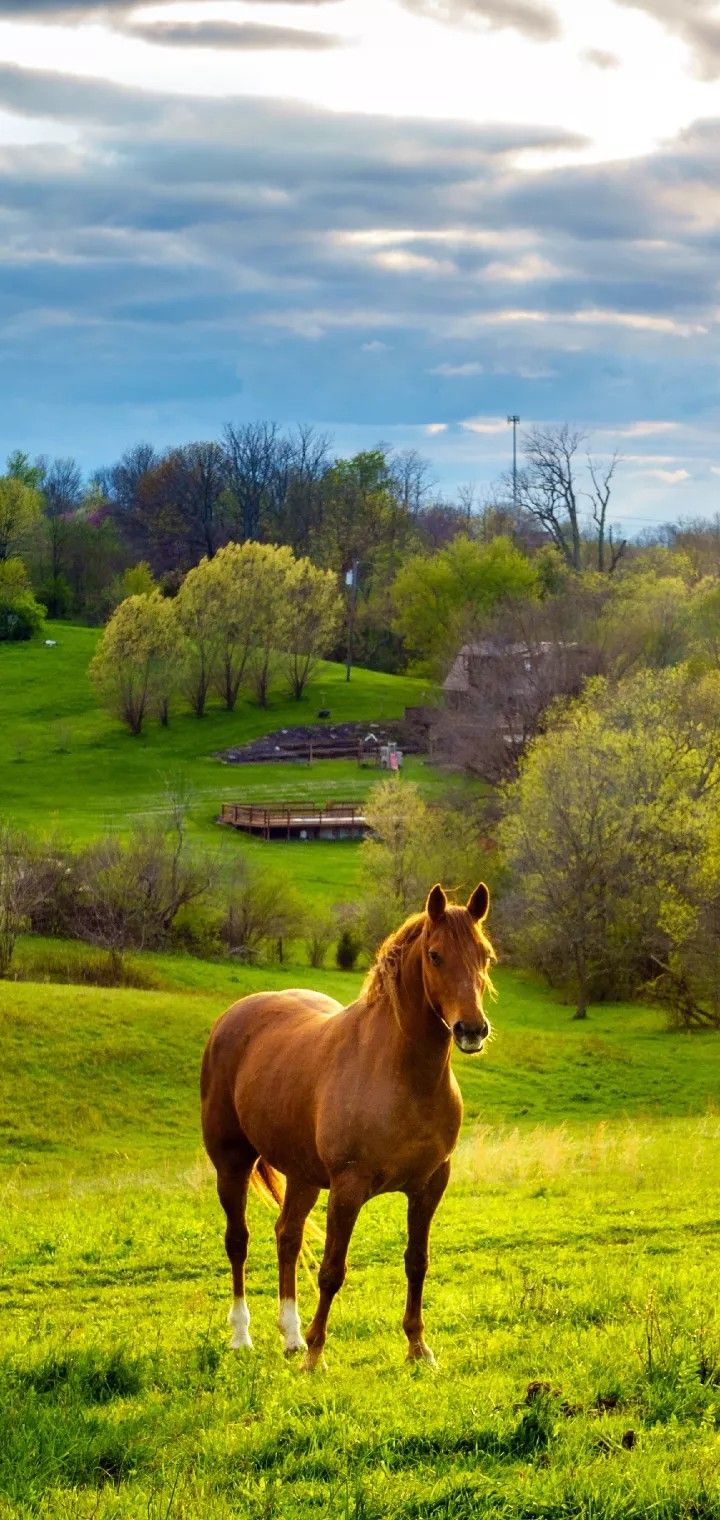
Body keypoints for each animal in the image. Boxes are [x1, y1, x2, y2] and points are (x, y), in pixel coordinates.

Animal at [200, 880, 495, 1370]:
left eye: (484, 955)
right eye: (435, 955)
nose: (471, 1030)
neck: (398, 1074)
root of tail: (232, 1016)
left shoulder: (430, 1185)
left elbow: (417, 1261)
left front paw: (418, 1349)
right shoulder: (348, 1187)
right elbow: (332, 1271)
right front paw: (317, 1357)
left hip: (302, 1175)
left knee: (287, 1237)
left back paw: (291, 1337)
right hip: (232, 1164)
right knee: (238, 1241)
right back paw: (243, 1336)